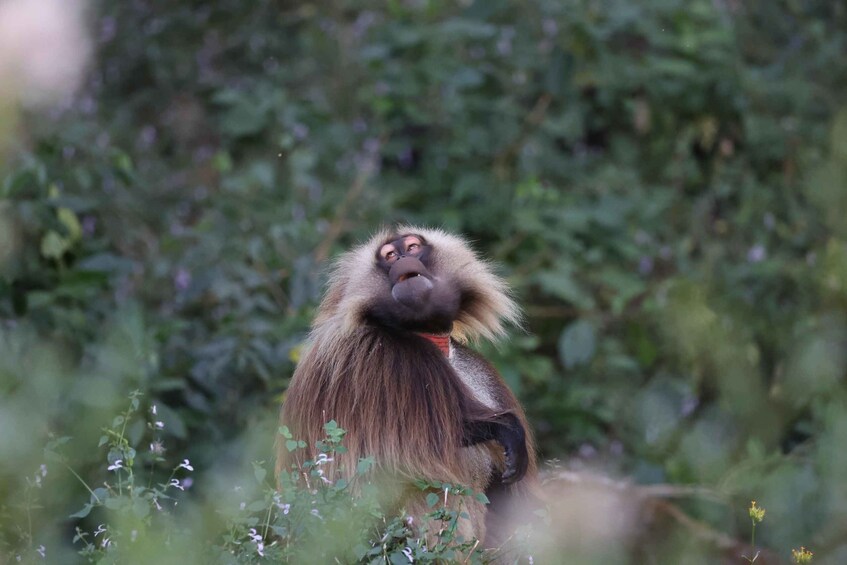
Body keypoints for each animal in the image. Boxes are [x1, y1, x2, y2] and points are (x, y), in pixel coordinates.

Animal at [276, 226, 537, 547]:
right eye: (389, 255)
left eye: (412, 247)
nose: (401, 258)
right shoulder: (375, 357)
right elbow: (434, 433)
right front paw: (510, 432)